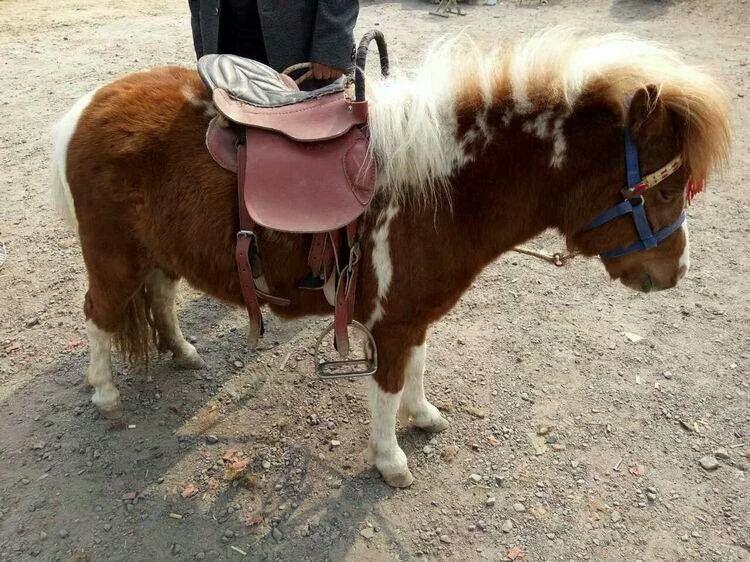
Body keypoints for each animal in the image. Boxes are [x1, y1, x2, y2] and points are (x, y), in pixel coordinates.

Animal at [51, 30, 730, 487]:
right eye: (664, 189)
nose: (674, 273)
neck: (441, 186)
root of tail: (87, 108)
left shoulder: (414, 314)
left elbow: (417, 371)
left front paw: (423, 415)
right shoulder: (390, 320)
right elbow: (386, 386)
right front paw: (390, 459)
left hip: (154, 252)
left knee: (160, 295)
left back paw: (182, 350)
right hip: (112, 258)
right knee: (98, 316)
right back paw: (104, 392)